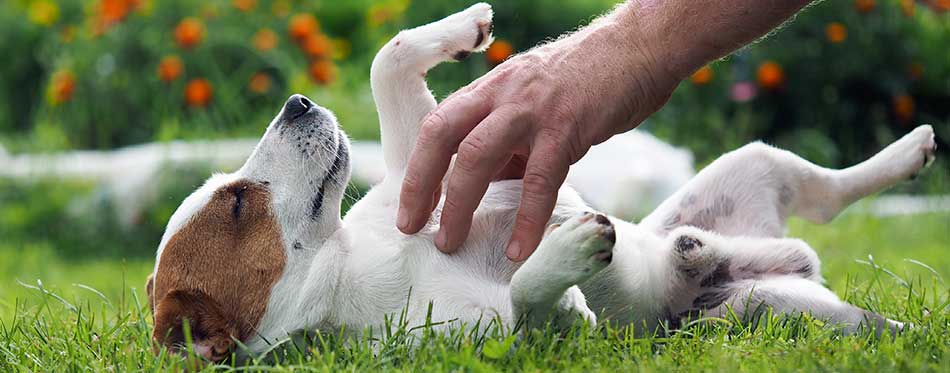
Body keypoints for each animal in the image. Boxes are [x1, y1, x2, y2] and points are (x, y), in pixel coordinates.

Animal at [145, 3, 940, 360]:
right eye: (238, 203)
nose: (297, 102)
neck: (355, 259)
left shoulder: (421, 170)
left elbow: (388, 61)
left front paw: (461, 29)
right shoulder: (508, 341)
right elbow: (532, 300)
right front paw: (565, 254)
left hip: (751, 163)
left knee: (827, 192)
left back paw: (909, 151)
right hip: (775, 311)